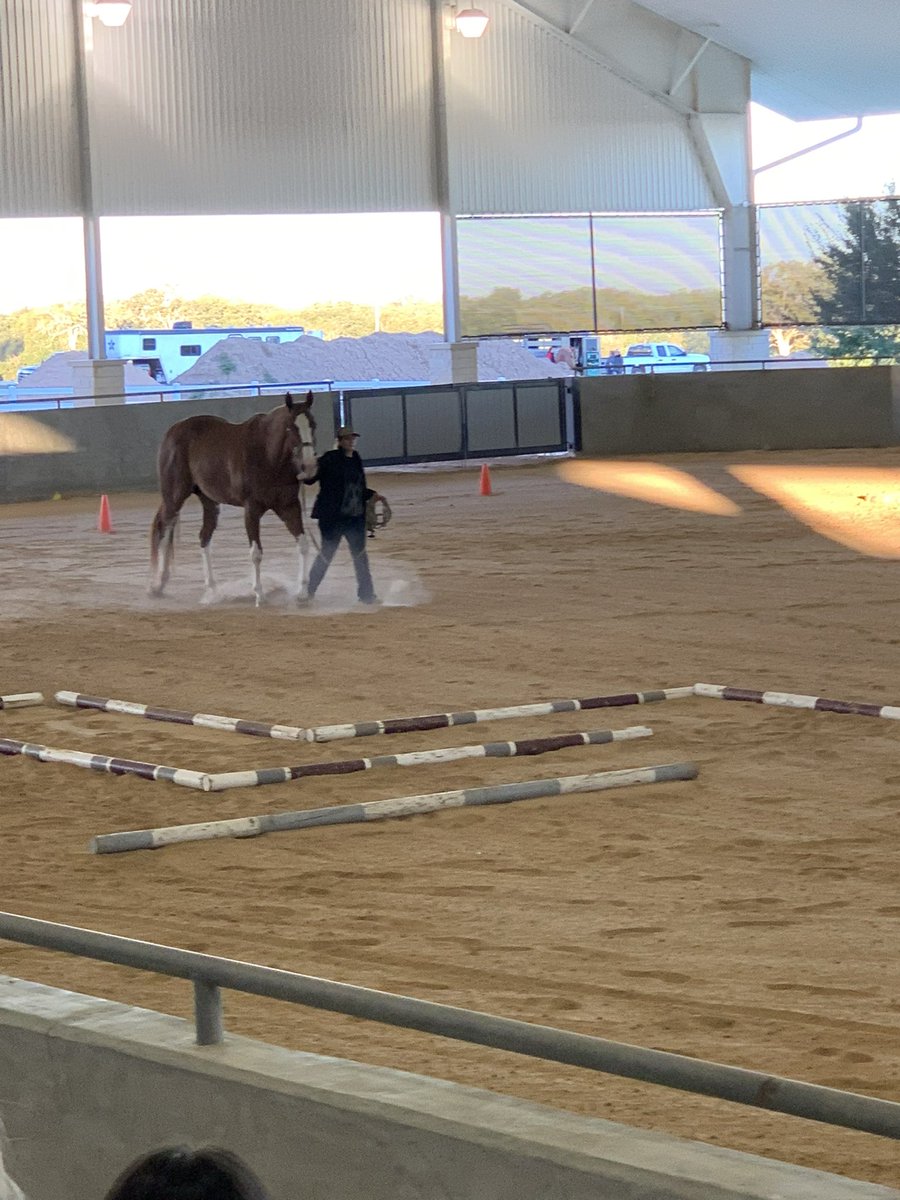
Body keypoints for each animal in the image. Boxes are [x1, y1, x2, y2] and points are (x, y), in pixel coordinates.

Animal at [149, 392, 318, 606]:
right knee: (164, 529)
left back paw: (212, 590)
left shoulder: (289, 506)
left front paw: (302, 593)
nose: (309, 466)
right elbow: (256, 553)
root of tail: (173, 431)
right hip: (174, 497)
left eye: (313, 424)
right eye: (291, 427)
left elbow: (303, 545)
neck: (268, 456)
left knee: (204, 537)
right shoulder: (252, 510)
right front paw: (259, 595)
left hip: (209, 502)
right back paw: (158, 584)